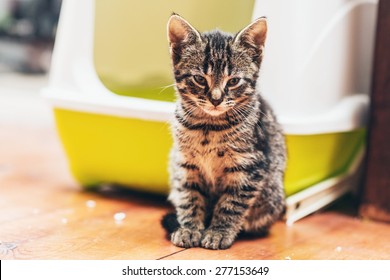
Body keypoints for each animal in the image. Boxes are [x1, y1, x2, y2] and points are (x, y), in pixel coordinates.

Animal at [161, 13, 286, 249]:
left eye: (234, 81)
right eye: (200, 79)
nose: (216, 99)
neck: (208, 127)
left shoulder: (249, 167)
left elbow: (231, 204)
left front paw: (219, 232)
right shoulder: (185, 164)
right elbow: (189, 198)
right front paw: (189, 229)